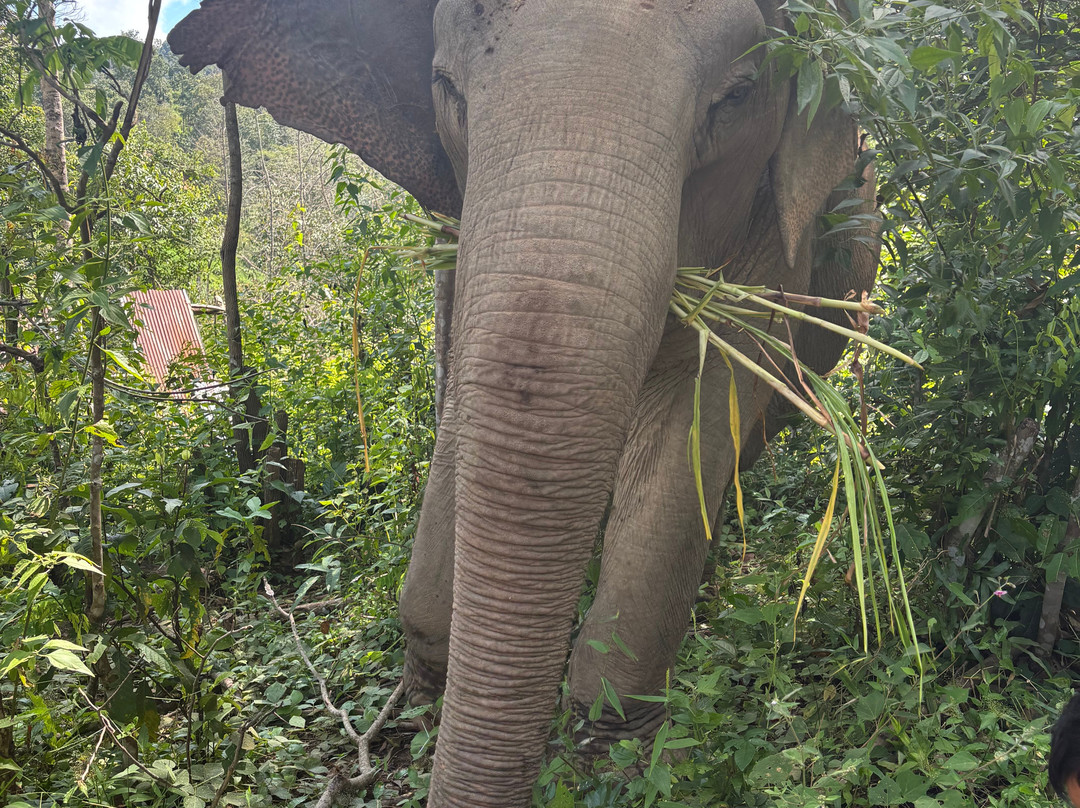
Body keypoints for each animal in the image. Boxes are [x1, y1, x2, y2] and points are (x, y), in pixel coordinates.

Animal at [169, 1, 879, 805]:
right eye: (446, 87)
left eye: (734, 99)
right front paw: (422, 700)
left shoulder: (777, 257)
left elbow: (699, 415)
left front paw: (609, 755)